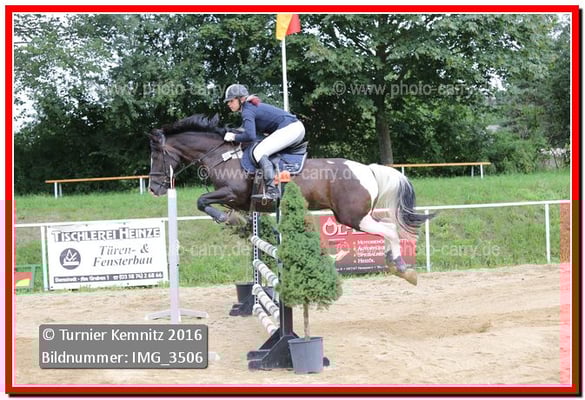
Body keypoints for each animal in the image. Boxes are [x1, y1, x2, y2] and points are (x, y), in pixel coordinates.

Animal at [148, 114, 433, 285]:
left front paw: (230, 220)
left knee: (389, 230)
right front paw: (238, 222)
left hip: (352, 216)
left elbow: (202, 201)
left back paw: (403, 269)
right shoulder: (241, 201)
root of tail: (368, 169)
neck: (223, 156)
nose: (153, 188)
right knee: (388, 227)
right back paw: (393, 263)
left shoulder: (233, 193)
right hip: (357, 215)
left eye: (156, 156)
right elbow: (208, 204)